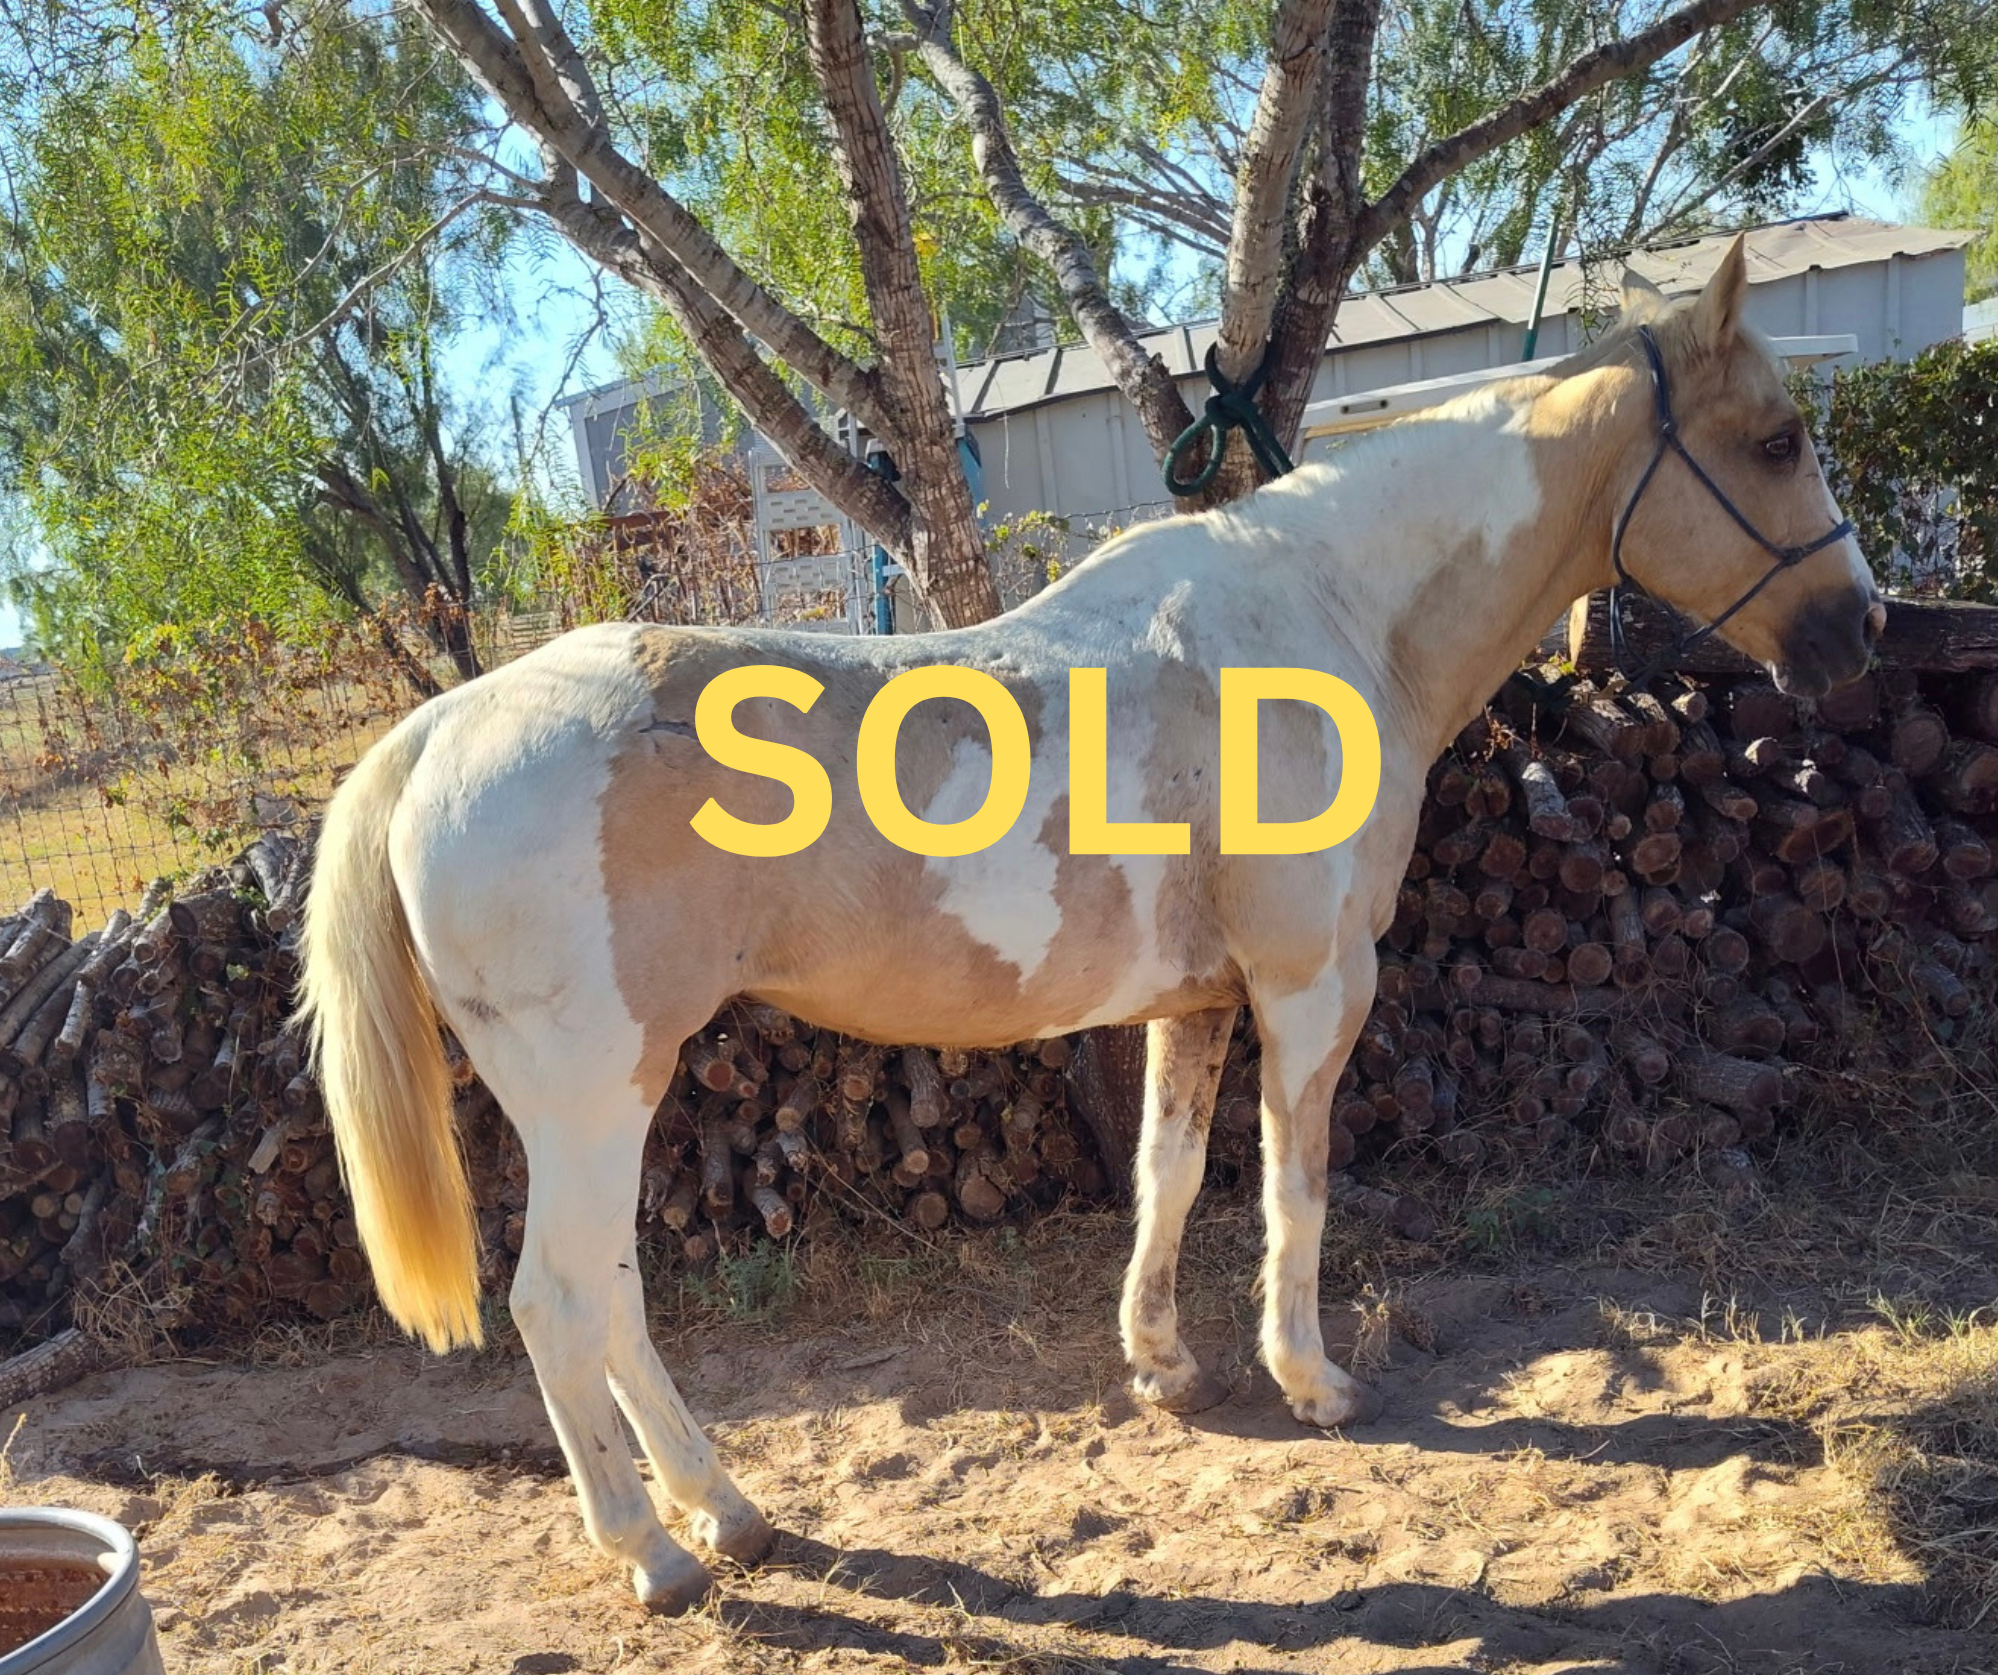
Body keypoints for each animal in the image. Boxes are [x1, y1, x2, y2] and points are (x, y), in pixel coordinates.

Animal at [297, 237, 1882, 1612]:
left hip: (612, 1098)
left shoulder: (1200, 1001)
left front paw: (1165, 1365)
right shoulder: (1313, 987)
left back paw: (728, 1511)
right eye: (1775, 440)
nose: (1860, 632)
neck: (1323, 617)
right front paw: (1312, 1379)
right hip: (588, 1094)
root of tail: (439, 726)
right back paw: (657, 1551)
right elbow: (1296, 1186)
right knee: (560, 1303)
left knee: (616, 1299)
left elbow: (1166, 1177)